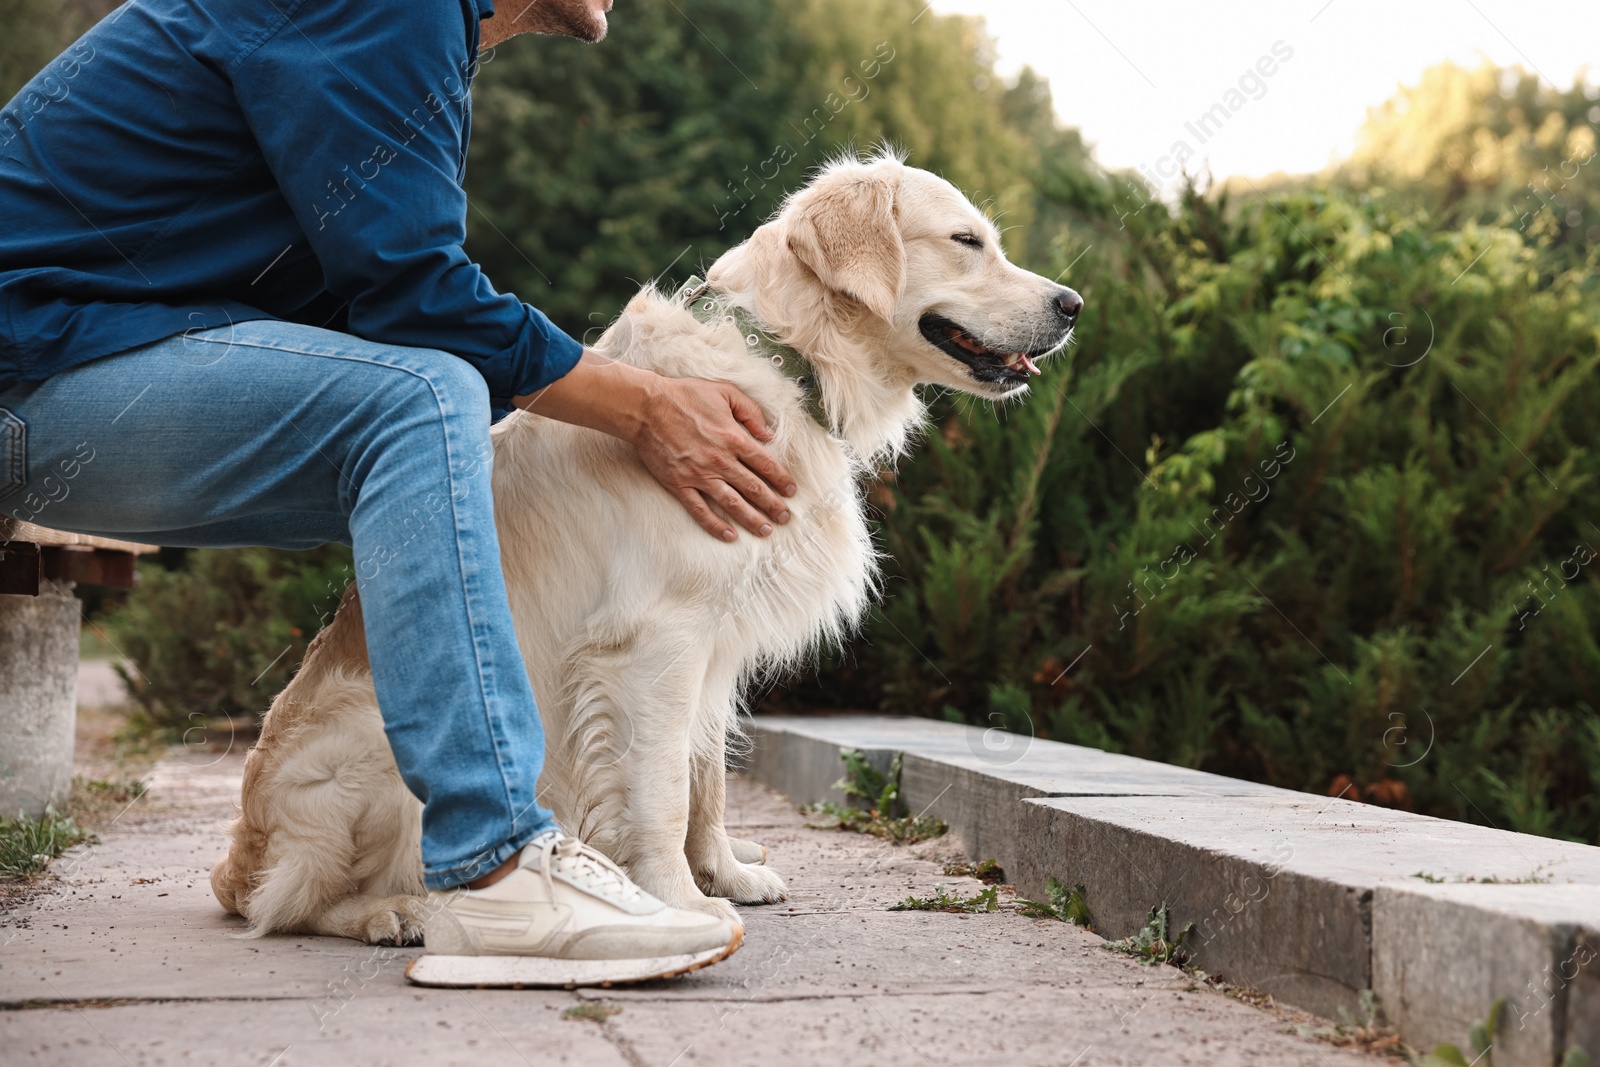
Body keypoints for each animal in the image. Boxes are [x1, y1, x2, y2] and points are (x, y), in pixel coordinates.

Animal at [212, 151, 1081, 940]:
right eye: (966, 240)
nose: (1073, 303)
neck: (784, 359)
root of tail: (237, 859)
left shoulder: (716, 642)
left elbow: (707, 775)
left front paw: (723, 870)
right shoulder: (660, 635)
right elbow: (661, 784)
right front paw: (682, 899)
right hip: (375, 744)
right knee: (292, 902)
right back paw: (399, 911)